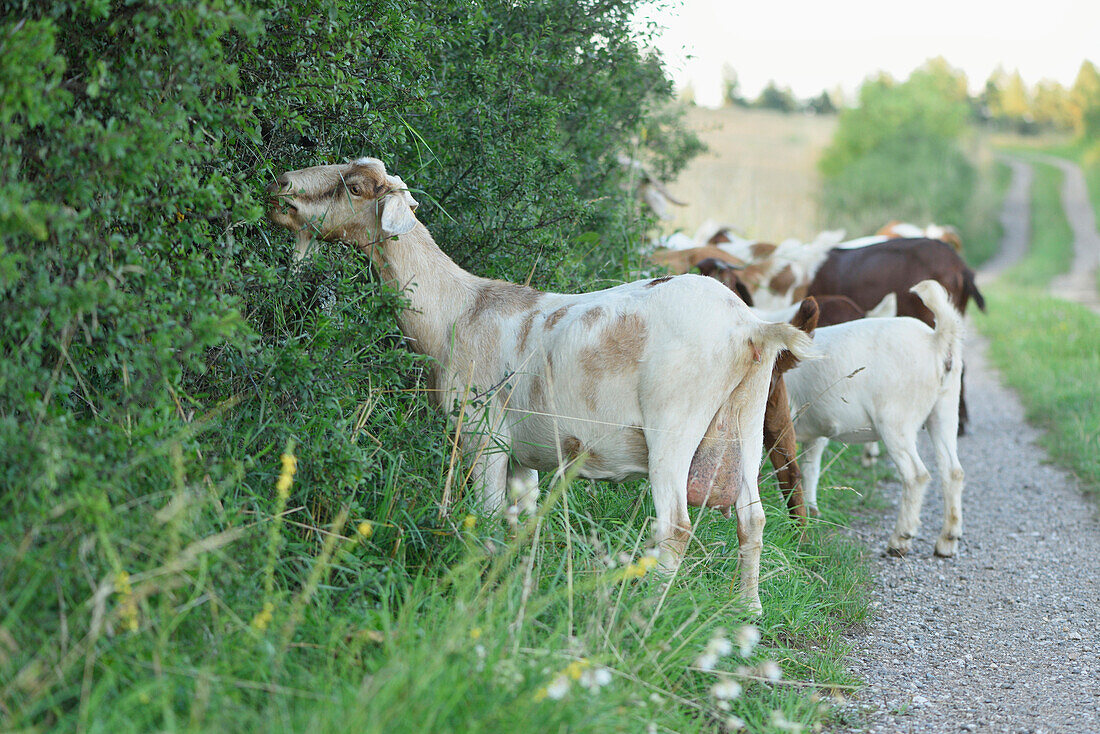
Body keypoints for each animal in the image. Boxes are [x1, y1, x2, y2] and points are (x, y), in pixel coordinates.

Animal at [268, 156, 818, 616]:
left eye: (356, 186)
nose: (282, 187)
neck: (457, 310)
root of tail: (750, 327)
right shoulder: (523, 457)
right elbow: (518, 524)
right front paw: (511, 585)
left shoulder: (483, 435)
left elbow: (487, 518)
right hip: (744, 422)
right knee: (752, 520)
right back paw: (749, 609)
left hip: (675, 428)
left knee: (675, 527)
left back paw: (644, 612)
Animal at [783, 281, 963, 556]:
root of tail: (937, 340)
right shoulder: (816, 428)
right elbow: (808, 469)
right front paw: (812, 512)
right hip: (944, 408)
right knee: (952, 470)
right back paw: (947, 540)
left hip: (896, 419)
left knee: (916, 475)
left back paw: (900, 539)